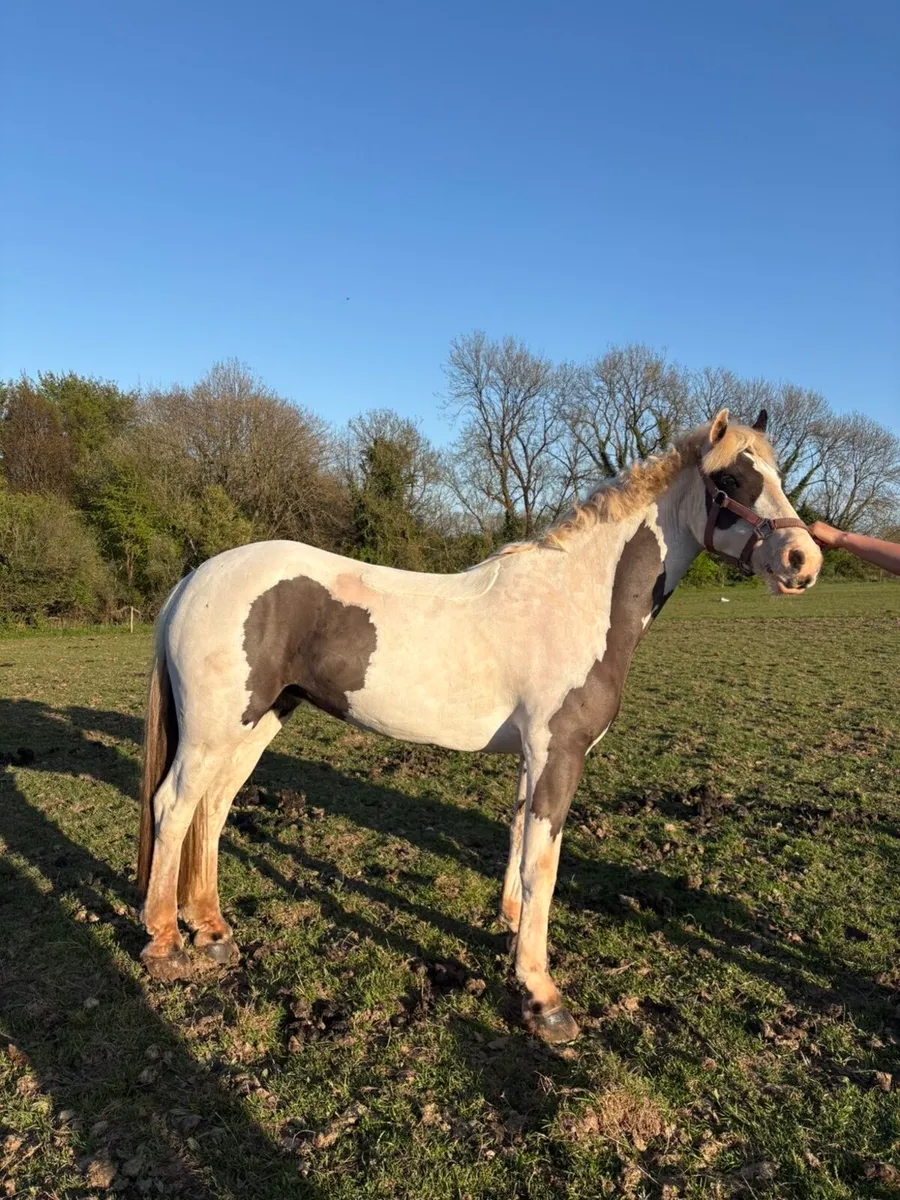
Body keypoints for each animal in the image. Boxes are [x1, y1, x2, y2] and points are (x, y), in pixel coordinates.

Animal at [136, 407, 821, 1043]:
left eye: (777, 474)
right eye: (731, 479)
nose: (803, 560)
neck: (578, 600)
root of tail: (194, 579)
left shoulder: (534, 756)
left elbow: (519, 840)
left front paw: (513, 934)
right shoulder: (559, 753)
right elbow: (544, 865)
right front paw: (543, 998)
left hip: (257, 723)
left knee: (213, 809)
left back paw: (213, 931)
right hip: (216, 730)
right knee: (173, 806)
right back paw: (166, 944)